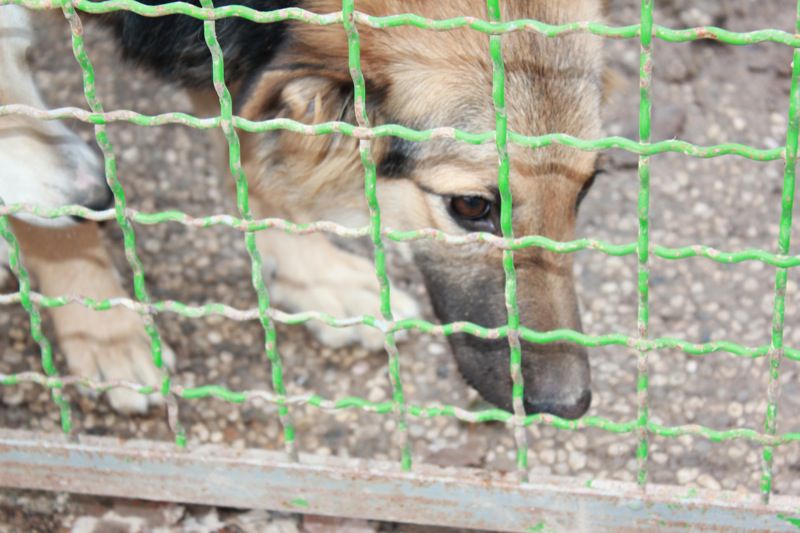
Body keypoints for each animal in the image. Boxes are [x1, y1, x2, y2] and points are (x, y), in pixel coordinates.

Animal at [103, 0, 604, 416]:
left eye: (586, 189)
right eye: (470, 205)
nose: (570, 404)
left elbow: (253, 157)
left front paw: (316, 276)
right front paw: (111, 339)